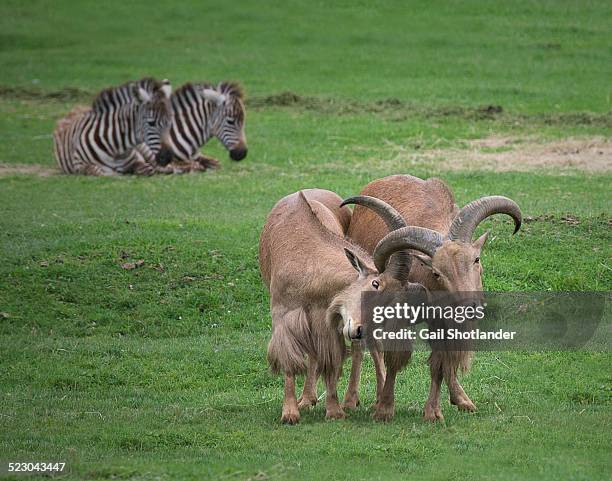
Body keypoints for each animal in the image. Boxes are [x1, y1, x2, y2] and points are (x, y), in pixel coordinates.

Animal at [258, 189, 420, 422]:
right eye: (375, 283)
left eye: (392, 299)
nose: (361, 331)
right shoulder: (283, 314)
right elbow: (290, 358)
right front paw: (290, 413)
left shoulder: (331, 319)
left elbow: (332, 362)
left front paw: (334, 410)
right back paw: (307, 398)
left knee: (365, 352)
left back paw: (360, 400)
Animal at [344, 175, 520, 420]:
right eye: (437, 272)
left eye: (476, 260)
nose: (469, 307)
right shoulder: (397, 317)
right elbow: (394, 358)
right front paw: (384, 409)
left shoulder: (442, 322)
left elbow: (439, 363)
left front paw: (434, 412)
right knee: (365, 345)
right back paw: (353, 400)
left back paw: (462, 398)